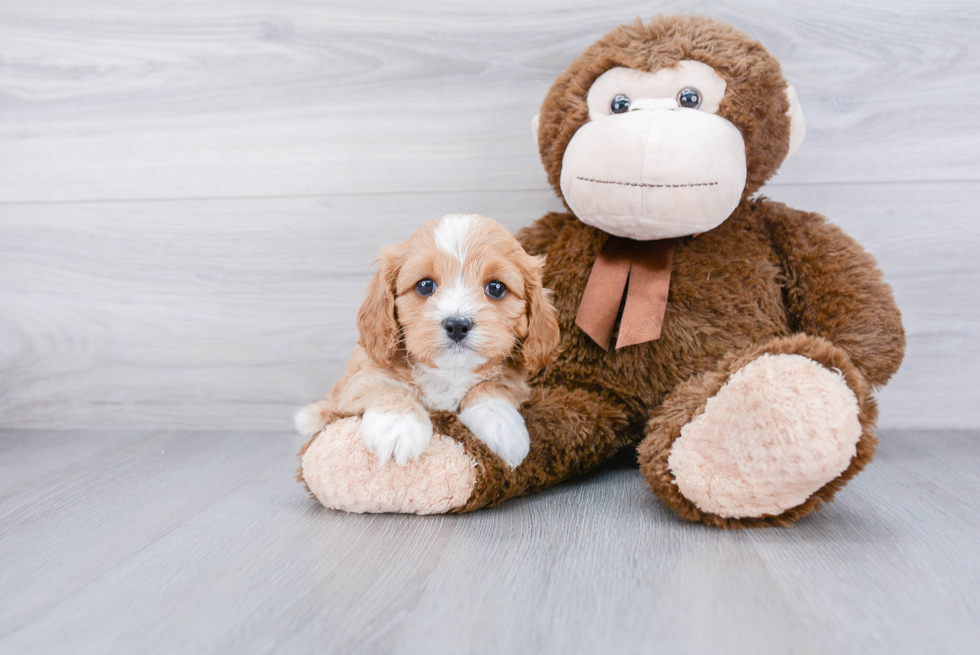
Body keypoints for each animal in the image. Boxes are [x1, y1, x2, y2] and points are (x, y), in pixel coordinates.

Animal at [294, 217, 560, 472]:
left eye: (496, 288)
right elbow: (387, 386)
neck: (448, 373)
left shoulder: (516, 379)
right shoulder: (361, 375)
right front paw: (397, 427)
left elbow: (492, 386)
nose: (457, 324)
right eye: (425, 285)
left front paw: (501, 426)